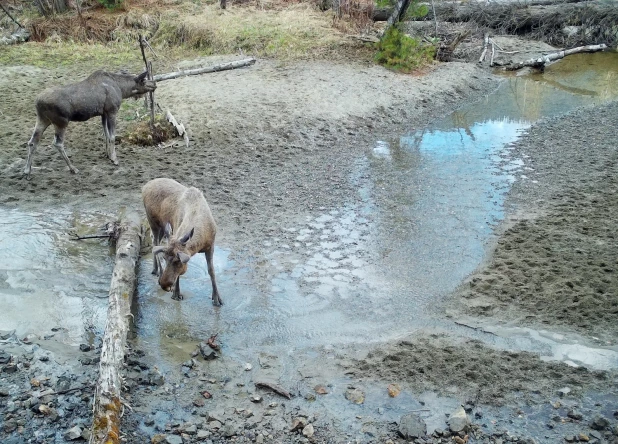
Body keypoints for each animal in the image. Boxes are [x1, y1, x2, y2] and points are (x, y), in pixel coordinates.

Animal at [24, 69, 156, 177]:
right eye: (143, 80)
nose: (154, 84)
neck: (122, 89)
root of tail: (37, 102)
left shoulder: (103, 113)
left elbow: (106, 135)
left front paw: (108, 155)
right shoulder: (112, 111)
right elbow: (112, 137)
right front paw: (114, 159)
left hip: (42, 119)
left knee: (32, 141)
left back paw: (27, 170)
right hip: (61, 121)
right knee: (58, 143)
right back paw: (73, 168)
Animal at [142, 177, 221, 306]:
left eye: (177, 261)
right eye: (165, 258)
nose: (164, 285)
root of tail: (145, 186)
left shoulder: (211, 246)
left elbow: (212, 271)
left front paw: (217, 298)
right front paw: (176, 294)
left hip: (161, 227)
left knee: (155, 242)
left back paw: (155, 270)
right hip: (152, 221)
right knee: (155, 243)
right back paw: (158, 272)